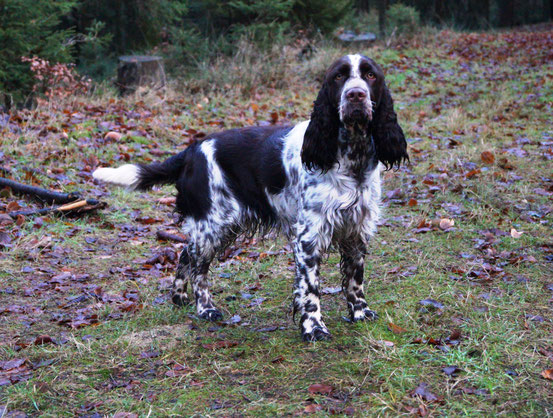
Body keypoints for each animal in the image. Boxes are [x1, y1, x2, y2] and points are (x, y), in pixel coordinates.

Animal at [94, 54, 406, 342]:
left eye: (370, 76)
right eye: (339, 77)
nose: (356, 95)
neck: (351, 157)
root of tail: (191, 151)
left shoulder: (357, 227)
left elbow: (355, 278)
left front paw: (360, 313)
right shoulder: (309, 234)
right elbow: (310, 288)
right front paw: (314, 327)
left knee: (185, 255)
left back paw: (179, 297)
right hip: (212, 224)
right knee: (198, 269)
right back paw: (205, 308)